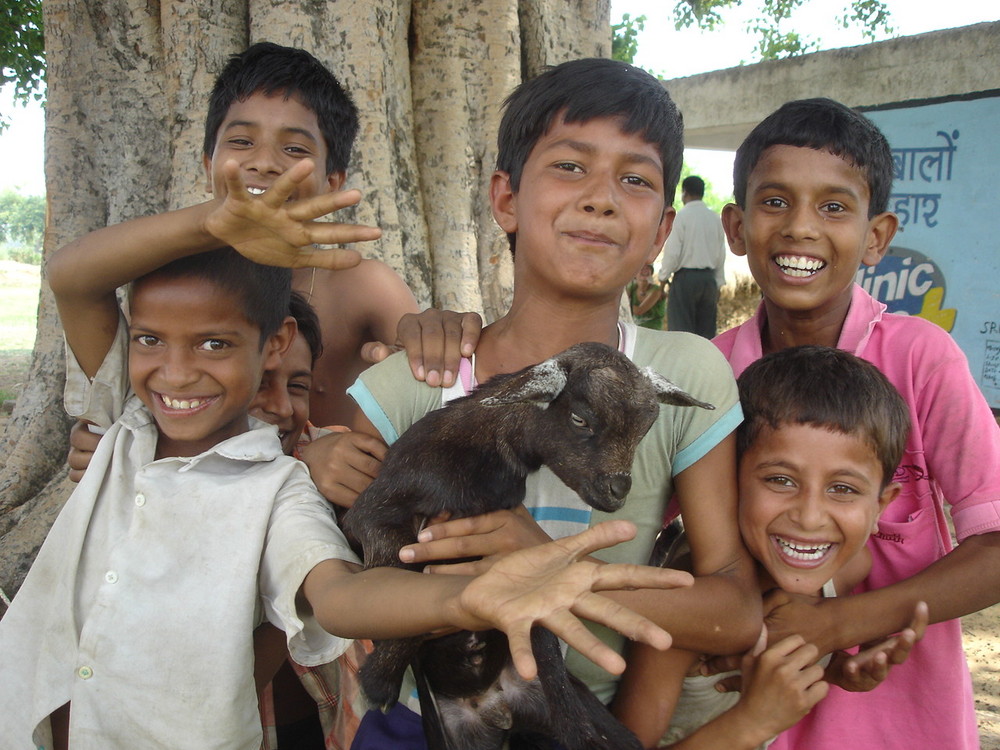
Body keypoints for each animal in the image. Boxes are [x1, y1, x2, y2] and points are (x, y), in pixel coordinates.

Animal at [344, 342, 712, 750]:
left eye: (645, 429)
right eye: (580, 419)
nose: (617, 490)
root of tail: (495, 706)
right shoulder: (375, 511)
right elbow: (403, 566)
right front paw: (379, 682)